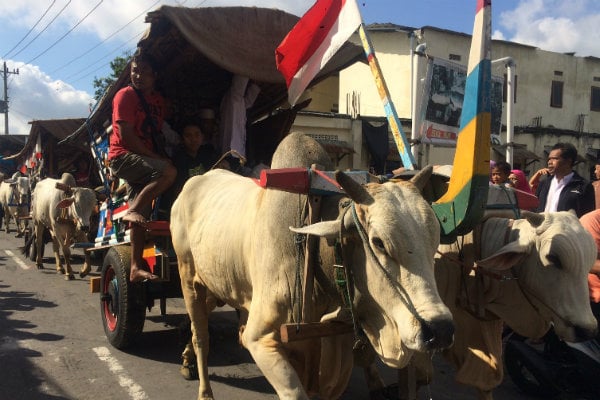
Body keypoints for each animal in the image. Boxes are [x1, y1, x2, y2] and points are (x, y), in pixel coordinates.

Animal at [170, 134, 454, 400]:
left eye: (435, 240)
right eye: (379, 243)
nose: (440, 330)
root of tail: (198, 179)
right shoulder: (259, 338)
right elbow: (293, 390)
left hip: (218, 285)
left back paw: (185, 359)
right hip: (189, 279)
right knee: (200, 335)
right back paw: (204, 389)